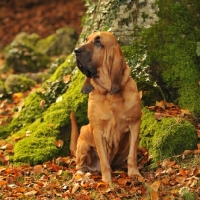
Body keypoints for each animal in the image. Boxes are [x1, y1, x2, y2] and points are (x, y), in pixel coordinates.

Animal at [70, 31, 142, 183]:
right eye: (86, 39)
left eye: (98, 42)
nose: (76, 51)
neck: (110, 94)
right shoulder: (98, 130)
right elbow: (104, 160)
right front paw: (107, 181)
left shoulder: (135, 124)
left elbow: (132, 155)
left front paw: (134, 174)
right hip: (84, 138)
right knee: (79, 165)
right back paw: (82, 176)